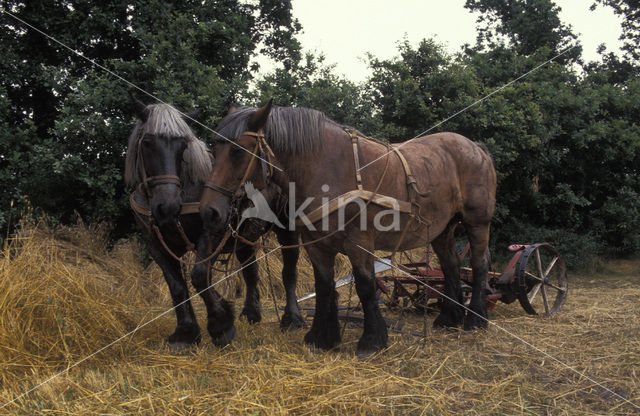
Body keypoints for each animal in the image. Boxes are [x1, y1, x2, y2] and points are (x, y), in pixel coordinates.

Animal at [126, 98, 306, 348]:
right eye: (147, 143)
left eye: (183, 146)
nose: (168, 206)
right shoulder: (155, 244)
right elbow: (176, 285)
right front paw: (185, 332)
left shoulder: (211, 234)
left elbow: (201, 277)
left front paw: (221, 325)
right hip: (244, 237)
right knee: (250, 271)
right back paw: (251, 313)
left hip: (286, 228)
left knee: (289, 271)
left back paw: (292, 318)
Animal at [202, 102, 498, 356]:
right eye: (213, 149)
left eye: (238, 150)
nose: (210, 211)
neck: (326, 167)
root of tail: (476, 147)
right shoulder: (316, 245)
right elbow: (324, 287)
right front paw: (322, 337)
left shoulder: (359, 243)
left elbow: (365, 286)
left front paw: (372, 341)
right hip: (441, 229)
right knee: (451, 266)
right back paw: (449, 318)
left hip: (477, 223)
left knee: (479, 264)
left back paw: (475, 320)